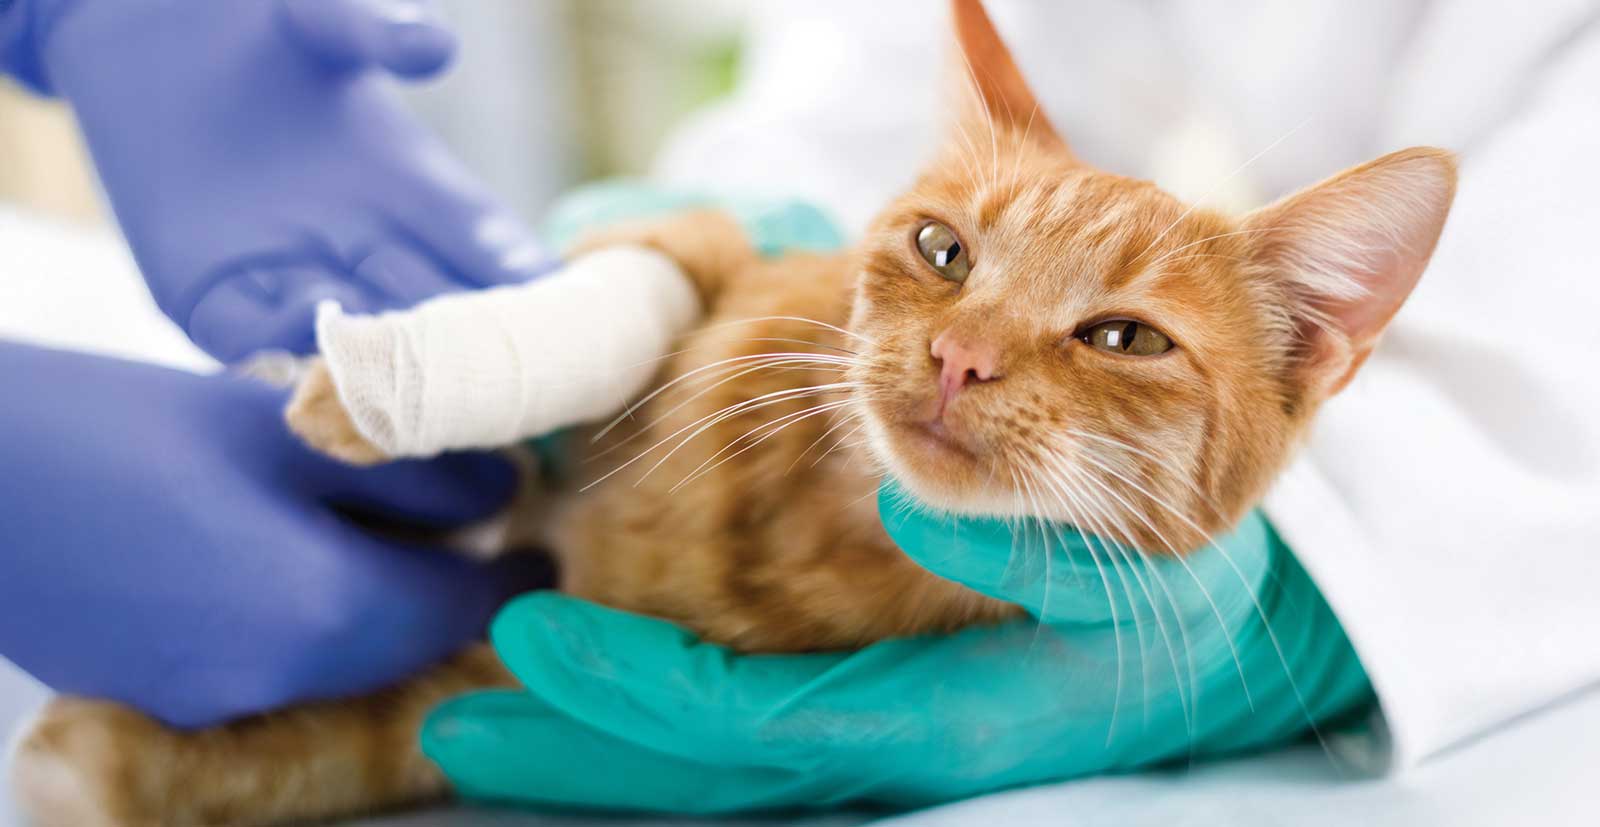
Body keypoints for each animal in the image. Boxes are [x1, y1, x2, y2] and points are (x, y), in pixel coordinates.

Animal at [6, 3, 1459, 819]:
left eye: (1123, 337)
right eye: (944, 252)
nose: (960, 357)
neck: (809, 515)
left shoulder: (522, 674)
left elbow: (378, 731)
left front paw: (107, 764)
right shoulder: (703, 248)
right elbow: (614, 291)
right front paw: (370, 385)